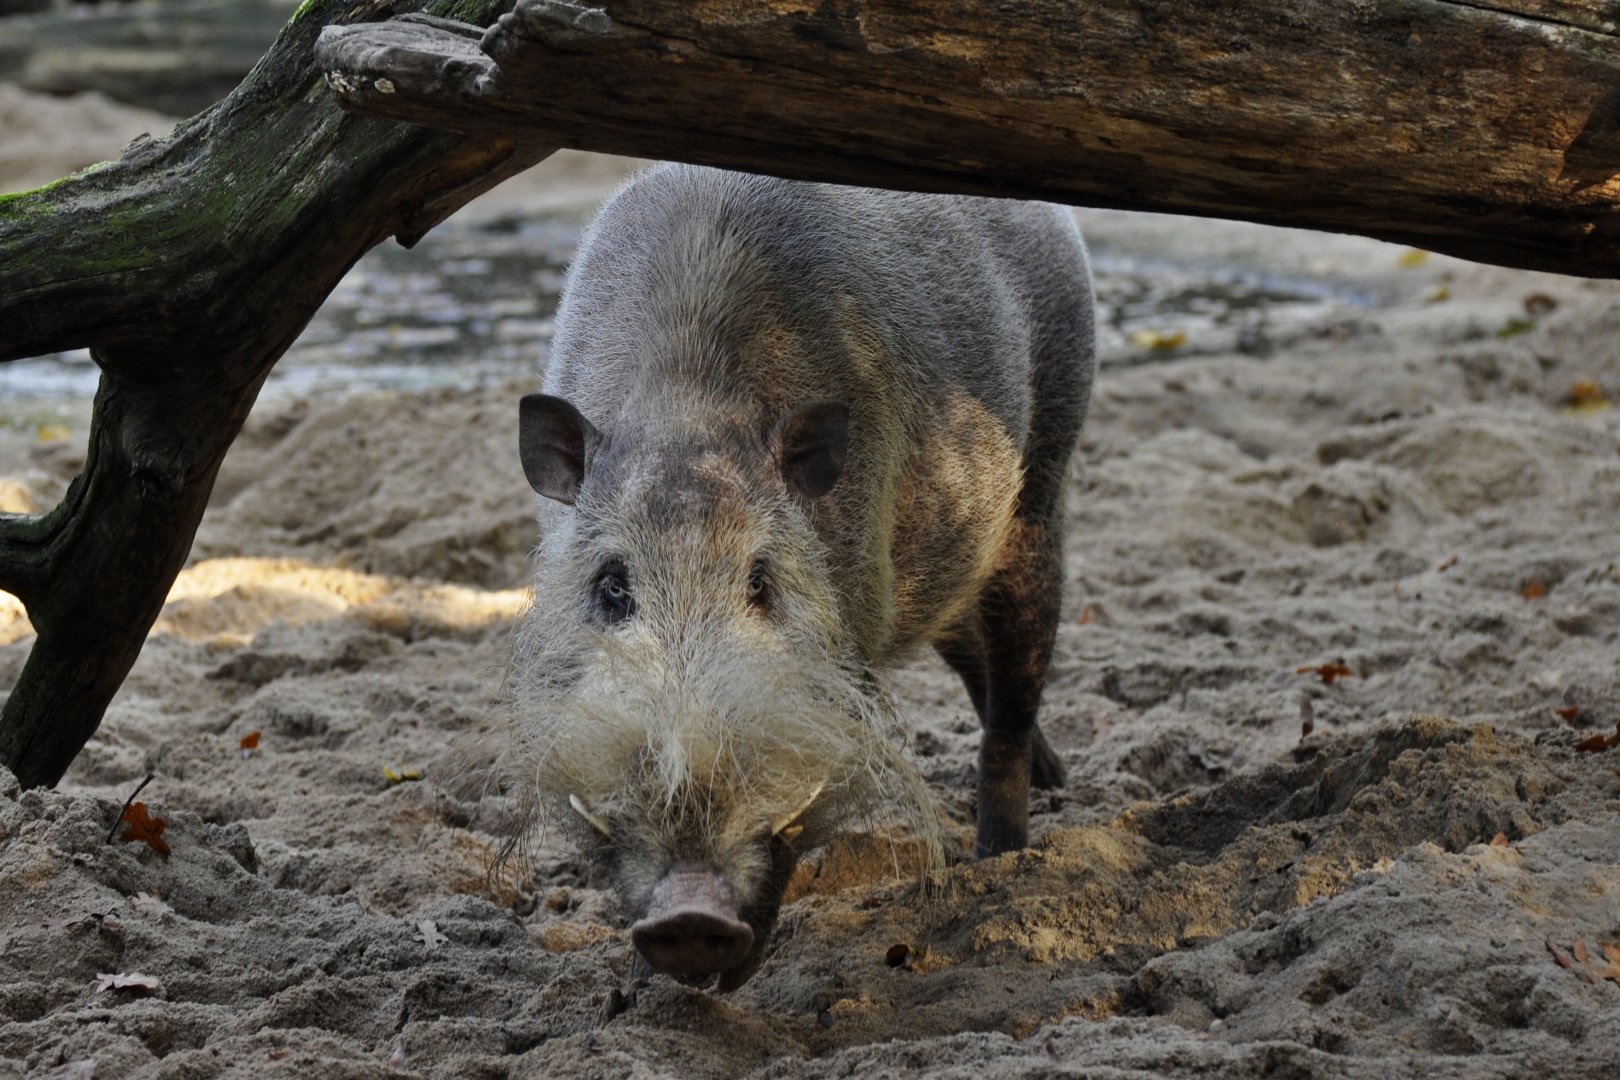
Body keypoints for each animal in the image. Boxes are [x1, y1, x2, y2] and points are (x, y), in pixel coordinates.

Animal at [502, 163, 1095, 991]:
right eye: (611, 587)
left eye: (762, 583)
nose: (691, 914)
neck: (687, 408)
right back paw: (1053, 778)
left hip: (1041, 485)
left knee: (1014, 687)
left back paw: (1001, 853)